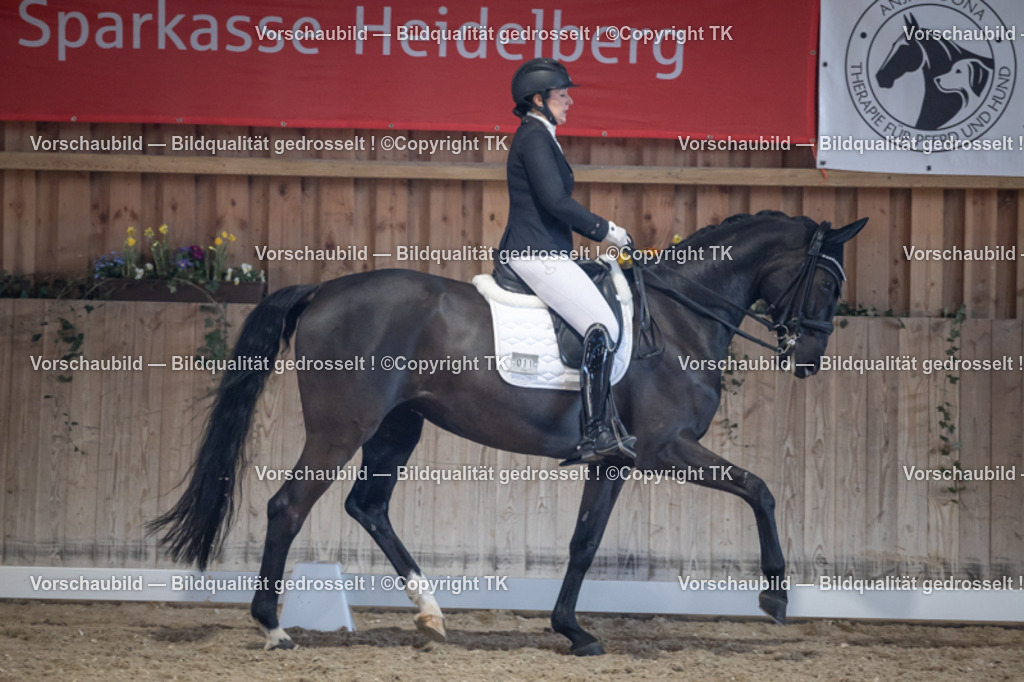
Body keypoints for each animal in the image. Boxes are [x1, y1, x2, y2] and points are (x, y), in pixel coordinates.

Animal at [148, 210, 867, 655]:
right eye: (828, 284)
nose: (809, 359)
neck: (678, 318)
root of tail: (323, 292)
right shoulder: (666, 448)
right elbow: (760, 488)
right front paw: (775, 595)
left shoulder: (615, 459)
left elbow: (584, 542)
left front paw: (573, 631)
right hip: (340, 429)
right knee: (288, 506)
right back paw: (274, 628)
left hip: (397, 429)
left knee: (367, 506)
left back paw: (431, 613)